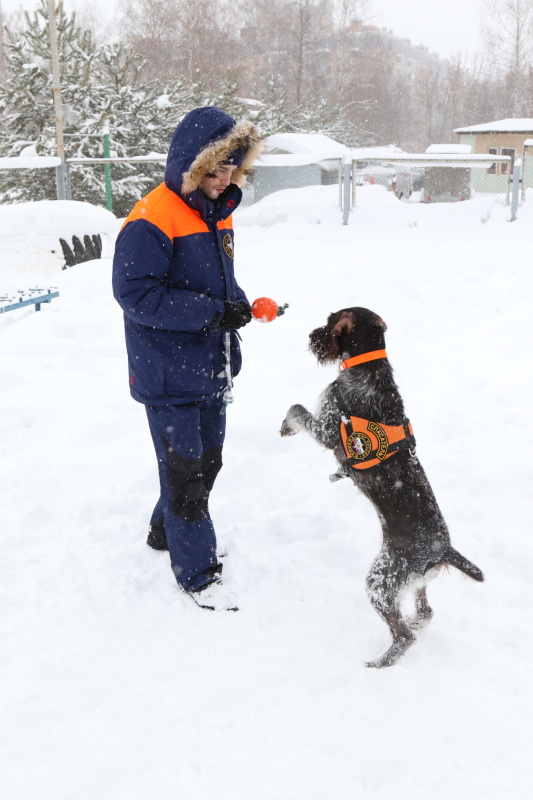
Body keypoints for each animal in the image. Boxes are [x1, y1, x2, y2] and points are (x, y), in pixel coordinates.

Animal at [280, 306, 484, 668]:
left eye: (330, 322)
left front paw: (285, 426)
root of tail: (443, 551)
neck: (368, 368)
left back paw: (379, 663)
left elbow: (297, 408)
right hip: (413, 581)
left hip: (381, 581)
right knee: (425, 612)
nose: (311, 336)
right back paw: (415, 621)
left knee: (403, 636)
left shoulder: (327, 427)